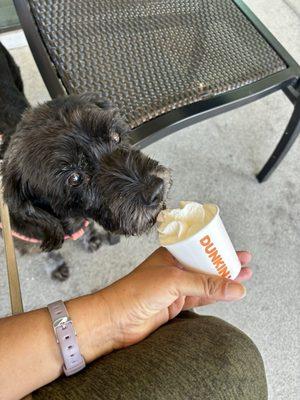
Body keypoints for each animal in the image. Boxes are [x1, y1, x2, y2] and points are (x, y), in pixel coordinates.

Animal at [0, 43, 171, 280]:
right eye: (74, 178)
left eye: (115, 137)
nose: (157, 190)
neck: (69, 220)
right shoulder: (26, 242)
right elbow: (47, 253)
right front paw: (55, 265)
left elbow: (87, 228)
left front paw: (89, 238)